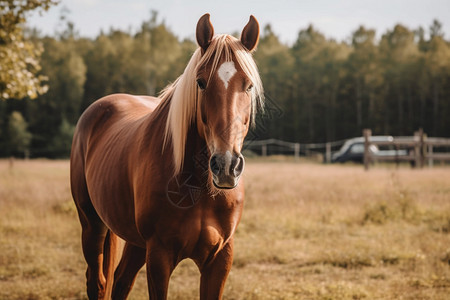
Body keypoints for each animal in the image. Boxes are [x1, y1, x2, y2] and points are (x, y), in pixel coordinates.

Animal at [70, 12, 264, 298]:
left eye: (248, 86)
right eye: (201, 82)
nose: (226, 166)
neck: (197, 187)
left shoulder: (220, 258)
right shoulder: (159, 256)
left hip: (135, 242)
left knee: (121, 281)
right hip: (92, 225)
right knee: (98, 282)